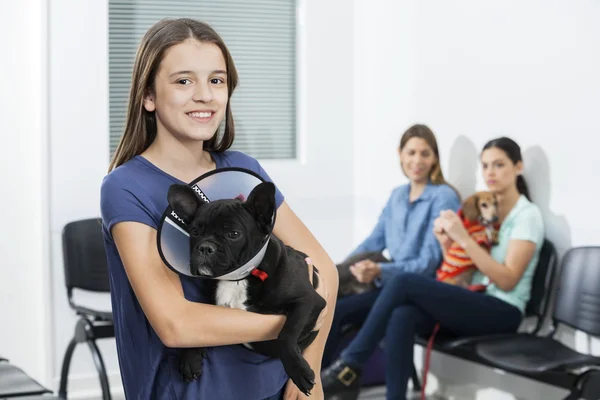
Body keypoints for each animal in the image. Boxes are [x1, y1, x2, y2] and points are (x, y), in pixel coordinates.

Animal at [166, 182, 326, 396]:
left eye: (234, 234)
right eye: (194, 232)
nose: (205, 247)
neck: (237, 279)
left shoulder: (308, 301)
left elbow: (287, 333)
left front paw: (299, 371)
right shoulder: (210, 312)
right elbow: (195, 329)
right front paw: (189, 358)